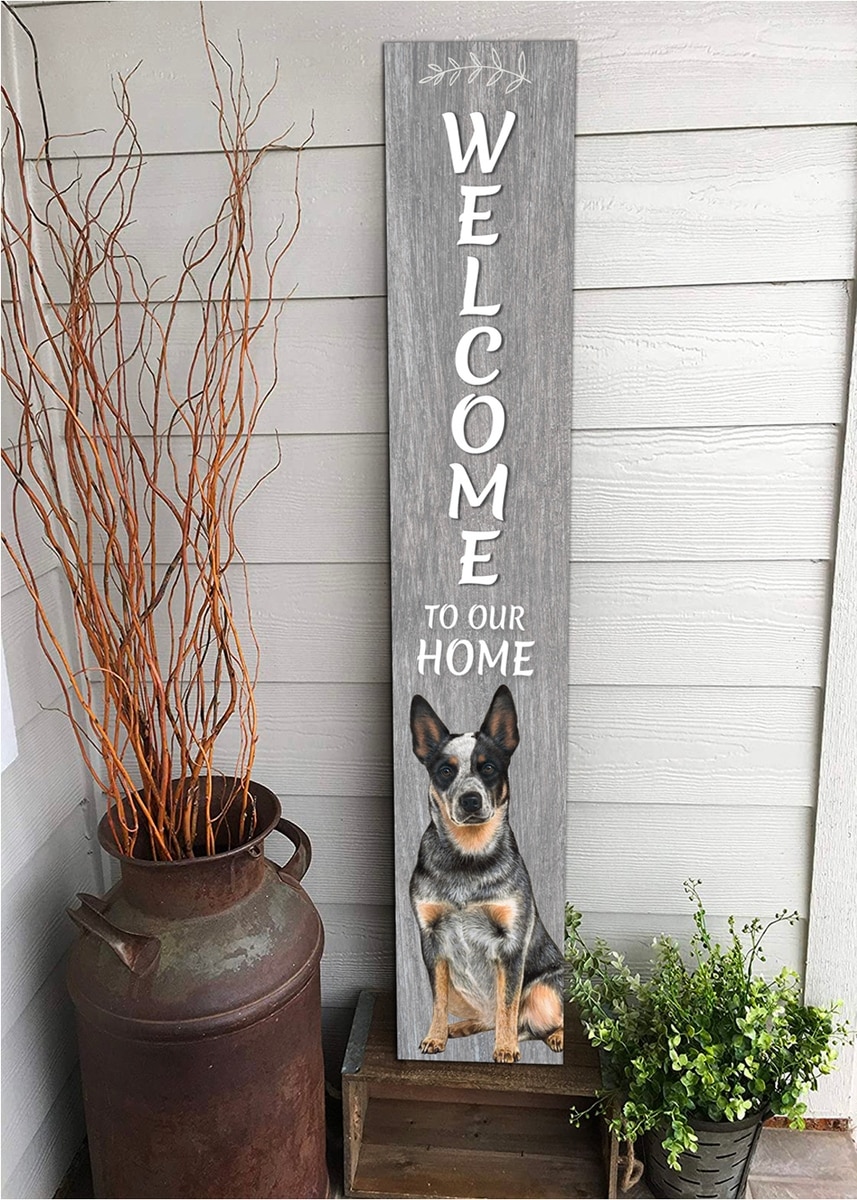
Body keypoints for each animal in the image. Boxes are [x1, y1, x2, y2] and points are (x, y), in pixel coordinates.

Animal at [408, 684, 564, 1063]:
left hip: (544, 987)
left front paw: (505, 1049)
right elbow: (437, 1000)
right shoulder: (431, 939)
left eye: (488, 767)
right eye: (445, 771)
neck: (468, 860)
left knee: (533, 1018)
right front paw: (435, 1036)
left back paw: (553, 1036)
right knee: (486, 1016)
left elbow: (507, 1003)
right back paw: (461, 1028)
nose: (470, 799)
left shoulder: (511, 945)